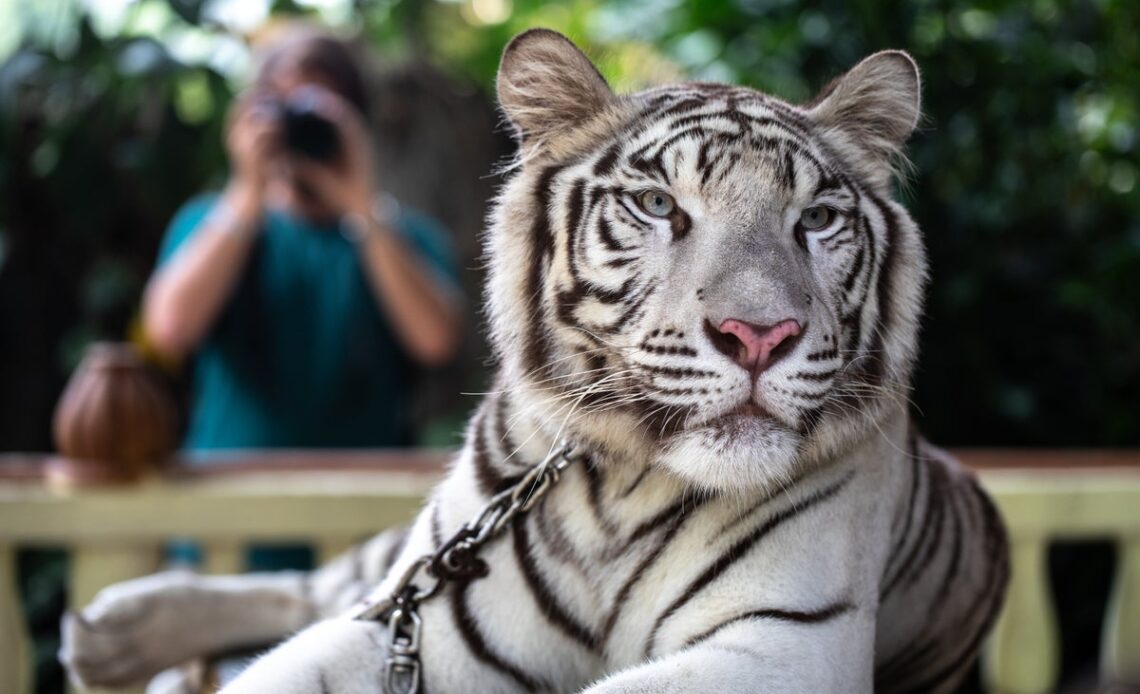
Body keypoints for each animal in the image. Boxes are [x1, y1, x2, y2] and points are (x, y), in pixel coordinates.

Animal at [62, 28, 1007, 692]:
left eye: (816, 220)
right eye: (657, 205)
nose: (759, 336)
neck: (627, 482)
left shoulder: (780, 645)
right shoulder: (432, 621)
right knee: (325, 582)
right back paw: (112, 629)